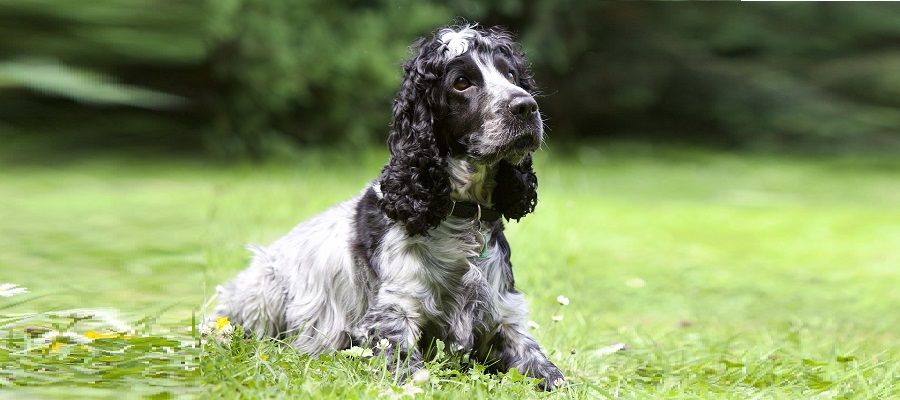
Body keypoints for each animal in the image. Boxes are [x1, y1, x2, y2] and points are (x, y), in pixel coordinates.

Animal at [211, 22, 564, 390]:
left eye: (511, 75)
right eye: (461, 82)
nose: (526, 106)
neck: (461, 218)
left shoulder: (503, 315)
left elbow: (549, 371)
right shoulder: (394, 313)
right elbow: (410, 370)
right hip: (263, 290)